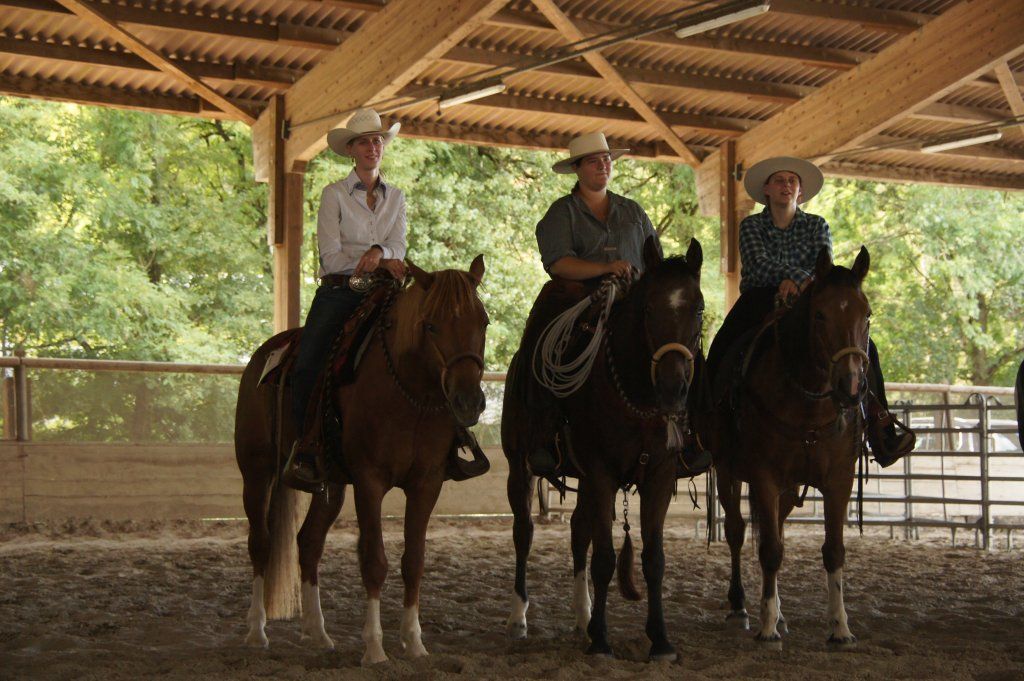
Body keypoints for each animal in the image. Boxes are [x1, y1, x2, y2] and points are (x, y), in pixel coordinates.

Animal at [235, 256, 488, 665]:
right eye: (431, 324)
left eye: (483, 322)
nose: (468, 401)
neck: (409, 393)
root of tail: (263, 356)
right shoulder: (370, 482)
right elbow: (374, 561)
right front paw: (374, 647)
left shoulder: (426, 483)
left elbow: (414, 561)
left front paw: (415, 642)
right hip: (256, 471)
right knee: (261, 542)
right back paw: (257, 632)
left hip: (331, 485)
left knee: (308, 543)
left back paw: (318, 633)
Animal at [503, 237, 705, 661]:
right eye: (649, 308)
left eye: (697, 308)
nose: (673, 387)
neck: (636, 394)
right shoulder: (601, 472)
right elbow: (605, 558)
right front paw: (601, 641)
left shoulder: (659, 475)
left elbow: (653, 559)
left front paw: (660, 640)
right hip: (520, 466)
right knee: (524, 532)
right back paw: (518, 618)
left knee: (578, 530)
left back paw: (583, 617)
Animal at [704, 246, 872, 647]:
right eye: (820, 314)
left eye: (867, 314)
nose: (850, 385)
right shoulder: (763, 477)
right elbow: (769, 550)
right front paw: (766, 628)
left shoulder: (839, 480)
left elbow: (833, 550)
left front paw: (840, 627)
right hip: (729, 471)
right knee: (737, 531)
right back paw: (741, 608)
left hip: (790, 486)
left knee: (776, 528)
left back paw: (779, 614)